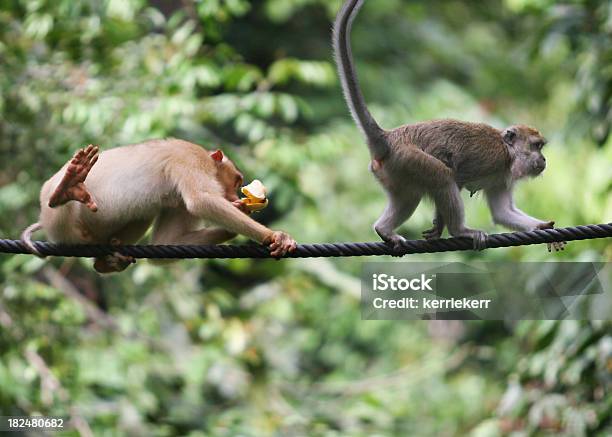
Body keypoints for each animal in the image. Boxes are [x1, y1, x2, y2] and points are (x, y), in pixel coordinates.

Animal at [20, 140, 294, 270]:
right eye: (236, 180)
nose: (233, 194)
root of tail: (44, 218)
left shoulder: (177, 202)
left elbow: (171, 239)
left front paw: (240, 215)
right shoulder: (190, 160)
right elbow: (200, 200)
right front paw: (273, 235)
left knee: (144, 212)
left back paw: (108, 259)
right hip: (61, 223)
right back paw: (66, 188)